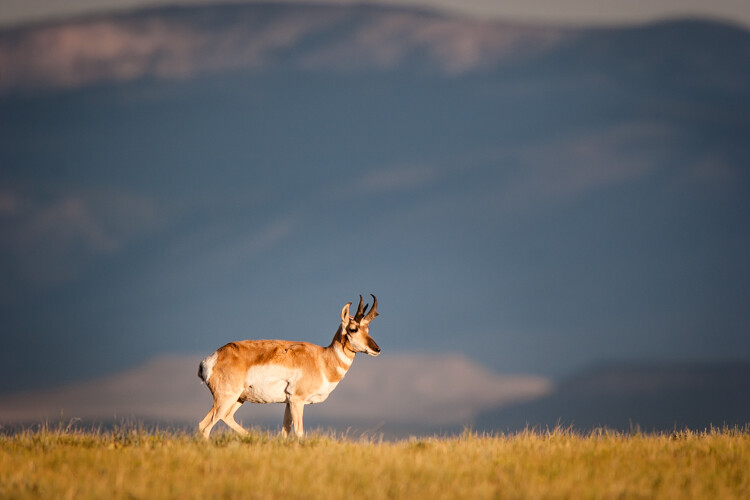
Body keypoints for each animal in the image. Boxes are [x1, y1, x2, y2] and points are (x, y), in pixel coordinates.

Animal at [198, 292, 382, 438]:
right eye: (353, 329)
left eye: (368, 329)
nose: (377, 349)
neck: (322, 359)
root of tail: (212, 358)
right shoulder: (297, 401)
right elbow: (299, 433)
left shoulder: (287, 403)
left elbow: (284, 433)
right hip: (225, 398)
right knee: (205, 426)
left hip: (238, 399)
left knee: (224, 418)